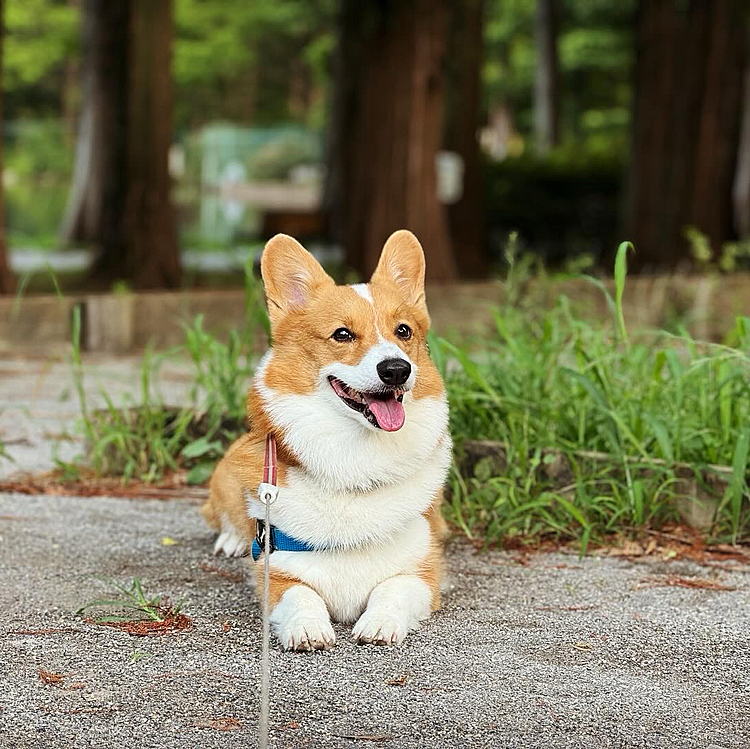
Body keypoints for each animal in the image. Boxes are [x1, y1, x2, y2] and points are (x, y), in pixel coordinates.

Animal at [201, 229, 452, 648]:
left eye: (403, 331)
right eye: (342, 334)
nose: (396, 369)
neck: (356, 461)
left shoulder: (423, 570)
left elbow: (393, 589)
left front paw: (380, 622)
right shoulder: (276, 572)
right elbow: (302, 594)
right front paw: (307, 627)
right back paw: (233, 539)